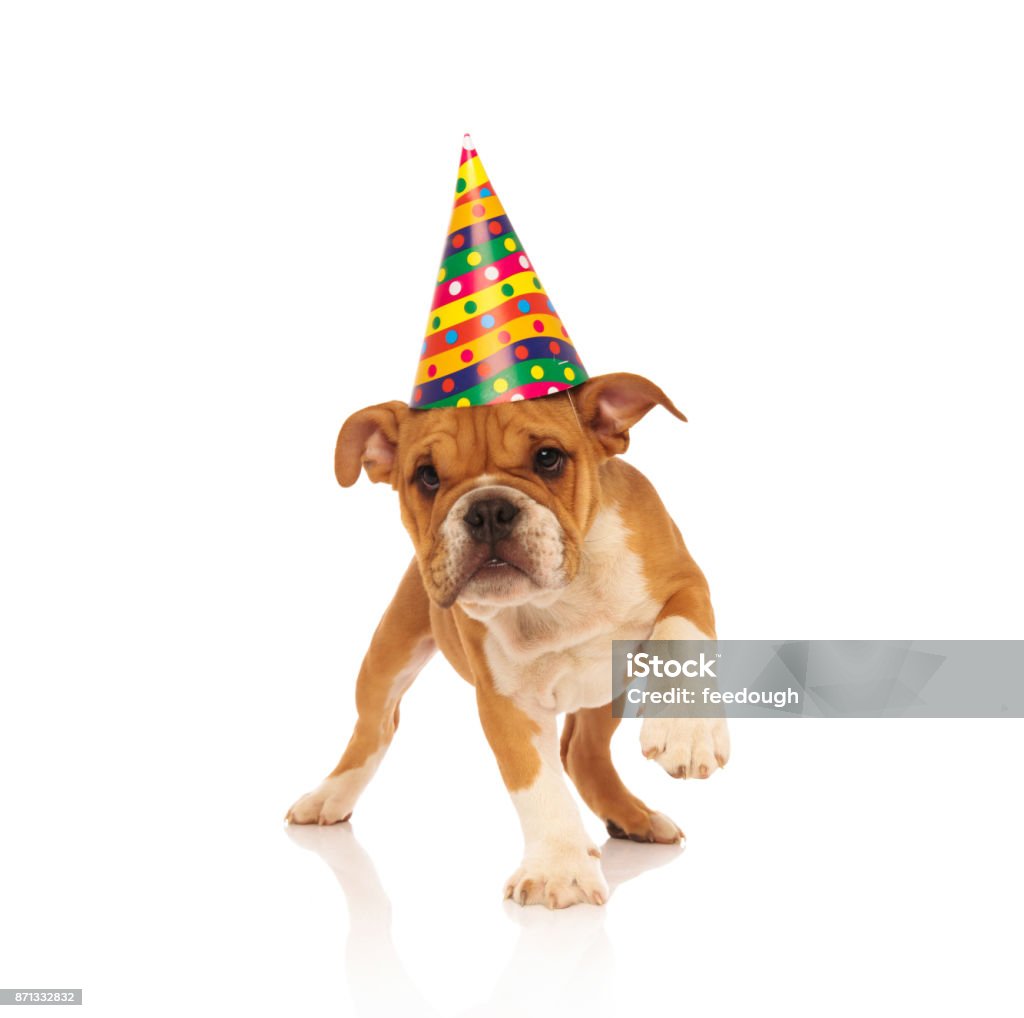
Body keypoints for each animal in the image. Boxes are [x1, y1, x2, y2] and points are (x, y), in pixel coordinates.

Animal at [284, 372, 724, 905]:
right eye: (427, 476)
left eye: (548, 458)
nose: (488, 508)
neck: (562, 594)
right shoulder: (505, 698)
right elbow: (535, 782)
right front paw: (559, 867)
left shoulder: (685, 583)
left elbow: (683, 635)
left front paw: (688, 731)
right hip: (388, 653)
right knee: (375, 728)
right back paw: (329, 795)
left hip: (606, 687)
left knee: (582, 753)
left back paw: (634, 818)